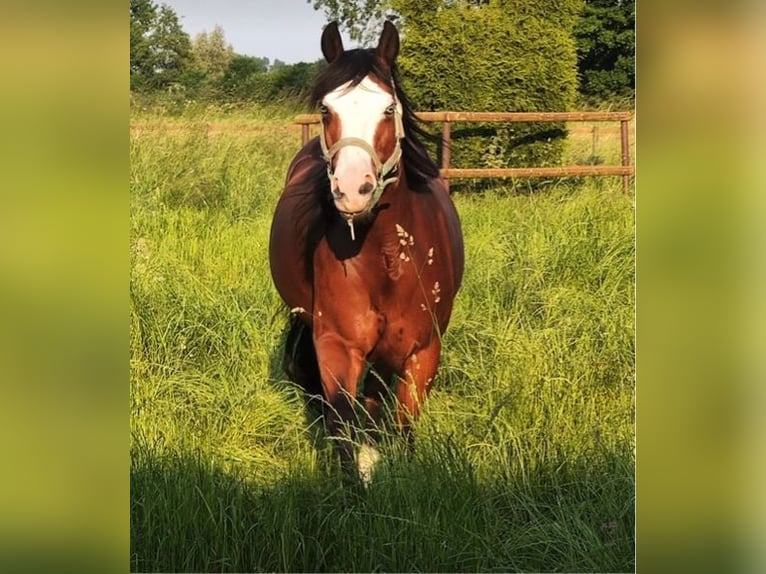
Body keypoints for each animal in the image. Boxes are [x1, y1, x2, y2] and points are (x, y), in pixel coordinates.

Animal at [268, 21, 464, 482]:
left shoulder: (422, 351)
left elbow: (401, 425)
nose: (353, 189)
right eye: (326, 110)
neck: (388, 259)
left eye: (389, 109)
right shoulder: (337, 346)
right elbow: (343, 427)